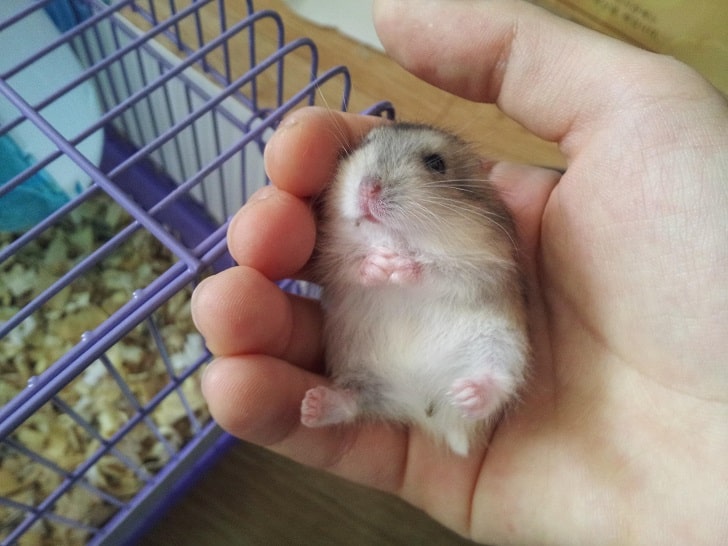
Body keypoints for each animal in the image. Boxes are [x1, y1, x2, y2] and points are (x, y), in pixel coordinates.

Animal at [300, 123, 530, 456]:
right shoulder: (329, 258)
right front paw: (380, 264)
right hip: (361, 373)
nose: (368, 188)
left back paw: (469, 395)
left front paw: (399, 266)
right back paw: (312, 406)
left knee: (498, 383)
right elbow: (351, 265)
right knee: (358, 401)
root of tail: (422, 406)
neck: (398, 236)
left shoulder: (485, 267)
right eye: (362, 145)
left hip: (503, 346)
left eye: (436, 163)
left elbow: (439, 270)